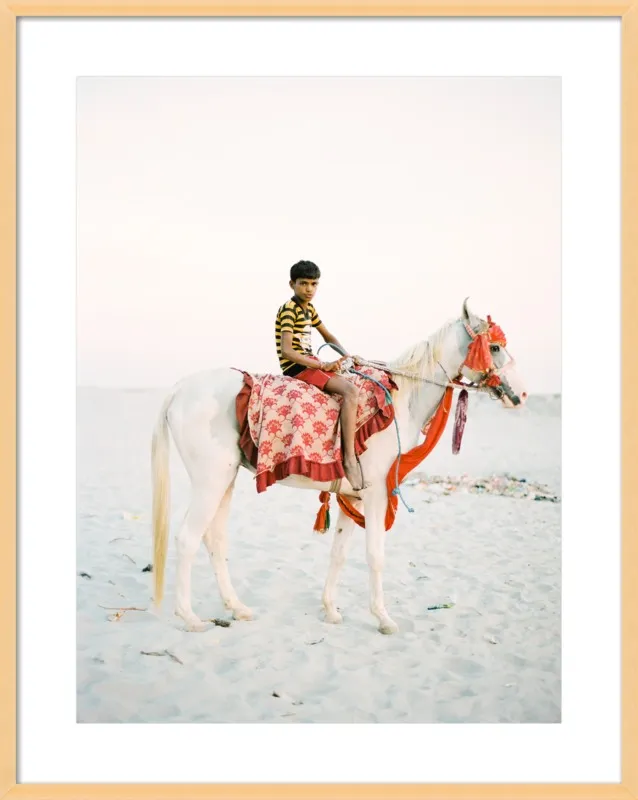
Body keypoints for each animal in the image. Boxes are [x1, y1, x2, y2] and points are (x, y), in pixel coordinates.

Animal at [151, 299, 527, 635]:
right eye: (494, 347)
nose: (520, 395)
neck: (400, 400)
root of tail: (178, 390)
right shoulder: (375, 496)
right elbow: (375, 555)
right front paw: (383, 619)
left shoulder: (354, 497)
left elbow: (339, 554)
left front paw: (331, 610)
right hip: (211, 481)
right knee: (187, 539)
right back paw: (190, 618)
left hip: (224, 481)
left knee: (214, 539)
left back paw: (237, 608)